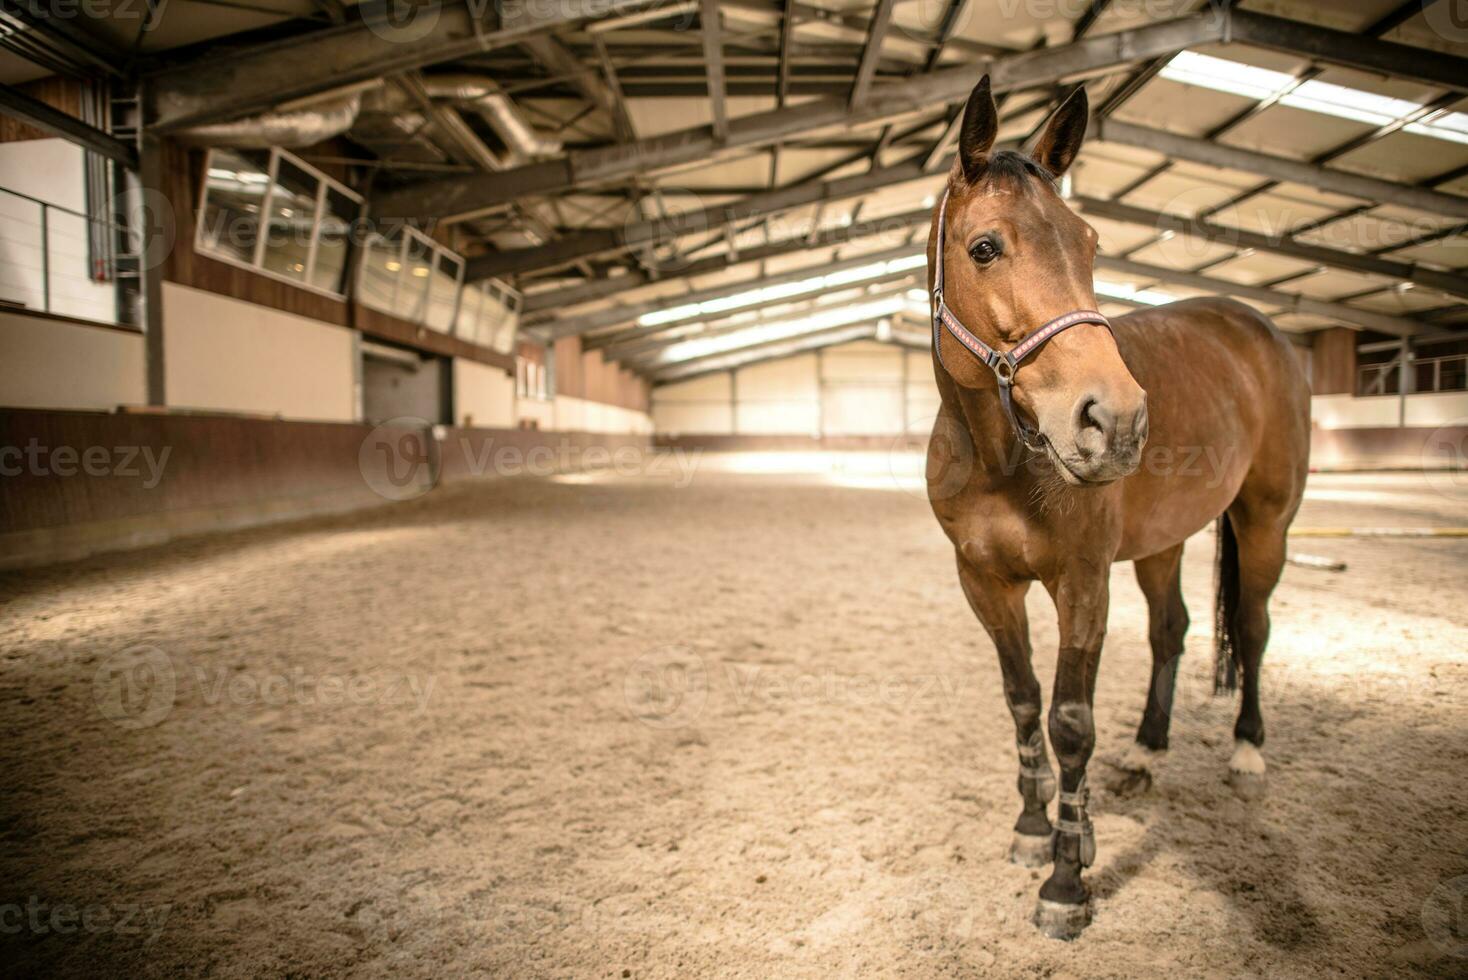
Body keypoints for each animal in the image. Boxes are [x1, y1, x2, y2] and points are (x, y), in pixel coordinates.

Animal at [927, 72, 1309, 938]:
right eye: (985, 247)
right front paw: (1035, 827)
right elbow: (1024, 701)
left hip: (1265, 523)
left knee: (1253, 626)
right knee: (1173, 629)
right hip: (1164, 542)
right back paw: (1147, 750)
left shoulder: (1082, 582)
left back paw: (1247, 750)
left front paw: (1067, 880)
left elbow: (1071, 721)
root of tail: (1262, 331)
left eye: (1090, 244)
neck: (1002, 460)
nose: (1117, 421)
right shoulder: (983, 583)